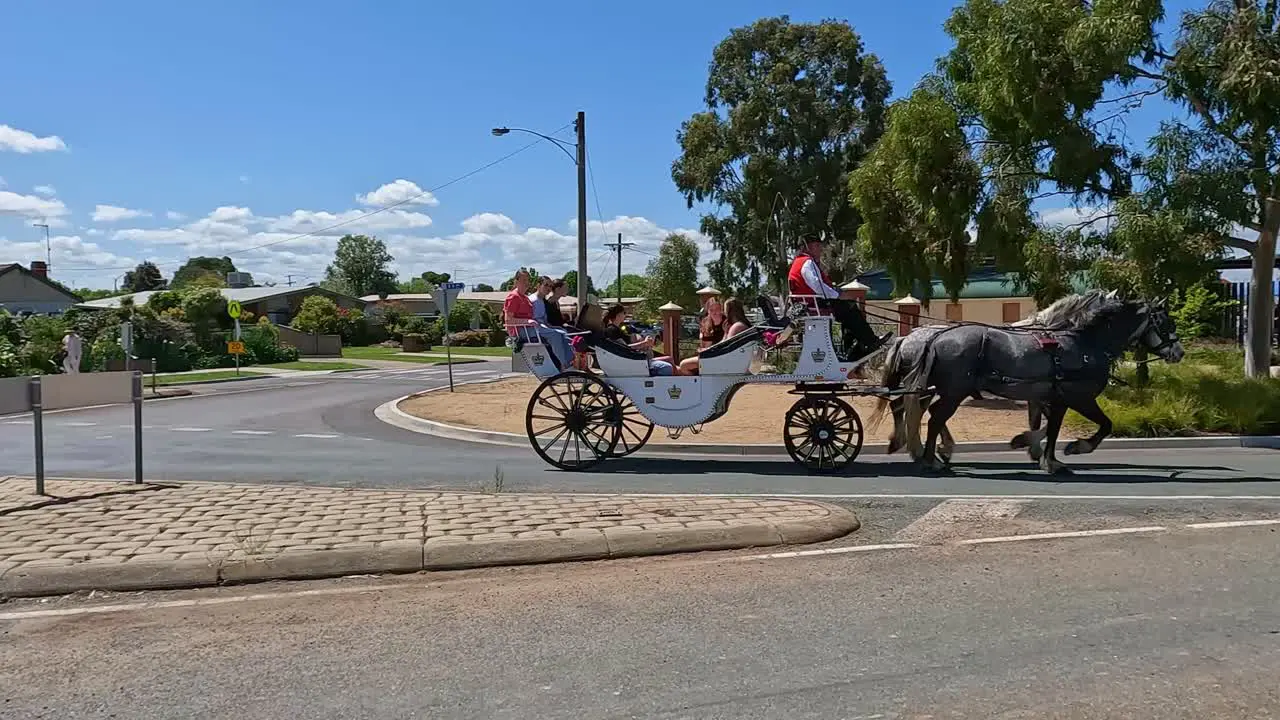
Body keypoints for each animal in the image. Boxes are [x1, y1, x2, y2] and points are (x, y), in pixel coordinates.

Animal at [875, 292, 1182, 471]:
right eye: (1167, 323)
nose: (1179, 352)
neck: (1080, 342)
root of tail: (928, 337)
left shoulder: (1052, 397)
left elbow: (1046, 426)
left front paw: (1039, 451)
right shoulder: (1077, 397)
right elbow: (1100, 425)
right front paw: (1069, 449)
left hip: (935, 389)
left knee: (912, 410)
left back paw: (923, 450)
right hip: (950, 391)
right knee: (929, 416)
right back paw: (930, 456)